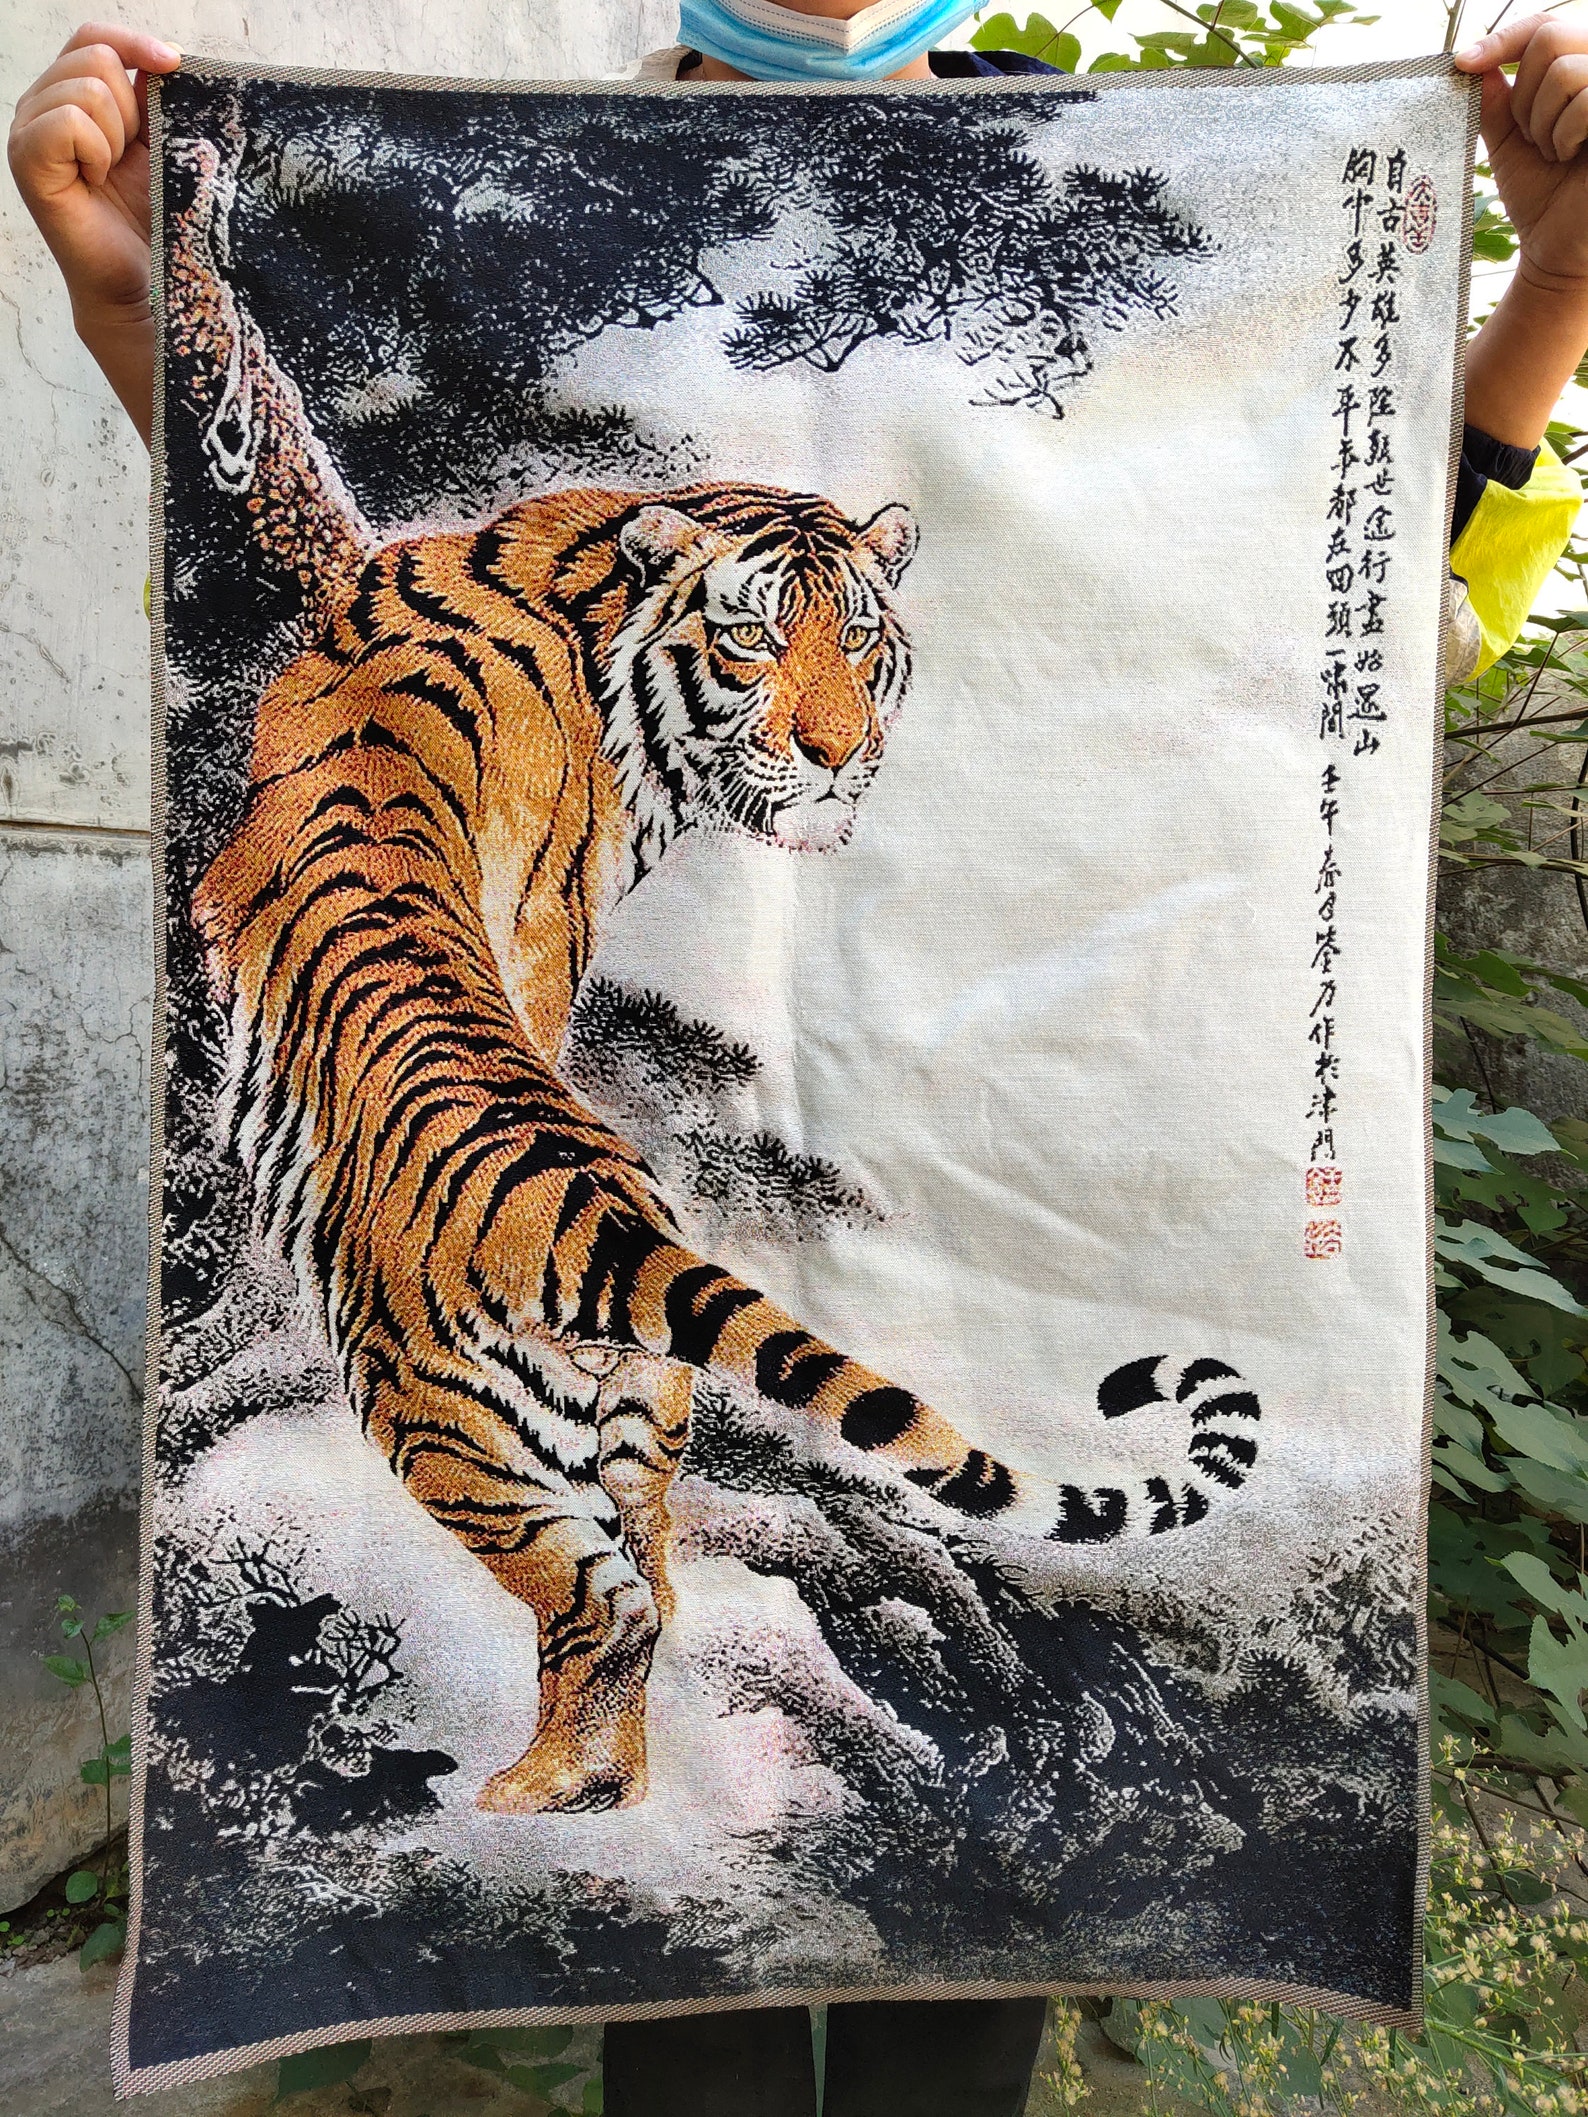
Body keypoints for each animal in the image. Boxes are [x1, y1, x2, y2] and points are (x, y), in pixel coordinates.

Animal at [192, 478, 1261, 1816]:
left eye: (856, 637)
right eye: (750, 637)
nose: (837, 752)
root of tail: (597, 1222)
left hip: (440, 1423)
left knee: (602, 1603)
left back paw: (533, 1797)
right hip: (634, 1412)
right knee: (647, 1572)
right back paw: (613, 1782)